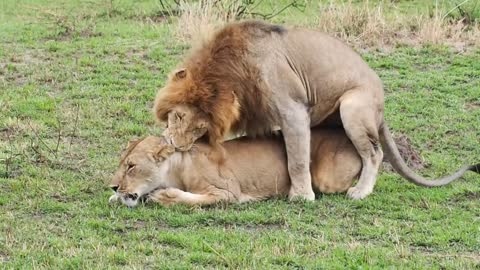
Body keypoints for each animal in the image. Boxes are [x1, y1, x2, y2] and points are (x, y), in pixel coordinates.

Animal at [154, 20, 476, 200]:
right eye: (179, 117)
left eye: (200, 128)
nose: (176, 145)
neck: (229, 72)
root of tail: (381, 100)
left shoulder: (293, 110)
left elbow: (297, 159)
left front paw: (301, 196)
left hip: (352, 106)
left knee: (375, 153)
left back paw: (360, 192)